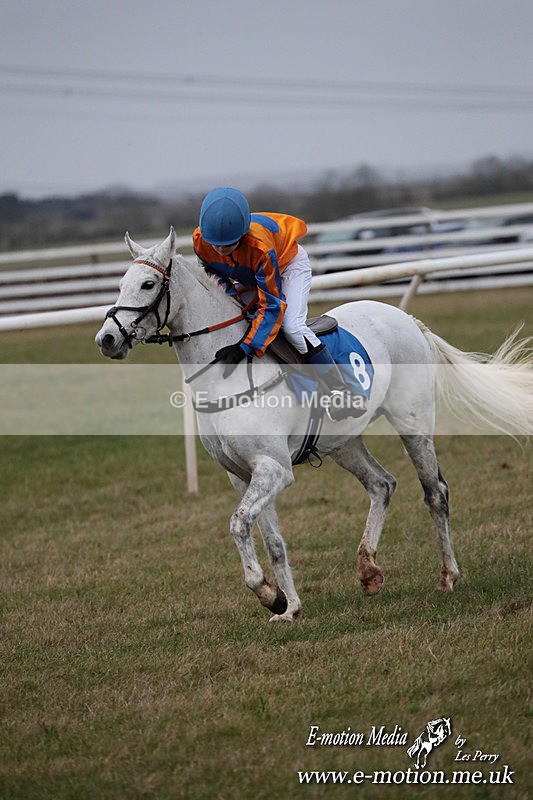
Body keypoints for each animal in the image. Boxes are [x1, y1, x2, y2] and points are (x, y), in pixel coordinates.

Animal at [95, 228, 532, 622]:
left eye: (148, 283)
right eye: (120, 284)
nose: (107, 339)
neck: (226, 372)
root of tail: (406, 317)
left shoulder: (273, 469)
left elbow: (238, 524)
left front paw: (267, 593)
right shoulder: (243, 475)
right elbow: (271, 540)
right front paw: (288, 607)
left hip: (414, 422)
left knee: (435, 493)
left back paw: (447, 576)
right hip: (343, 442)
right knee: (382, 484)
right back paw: (368, 570)